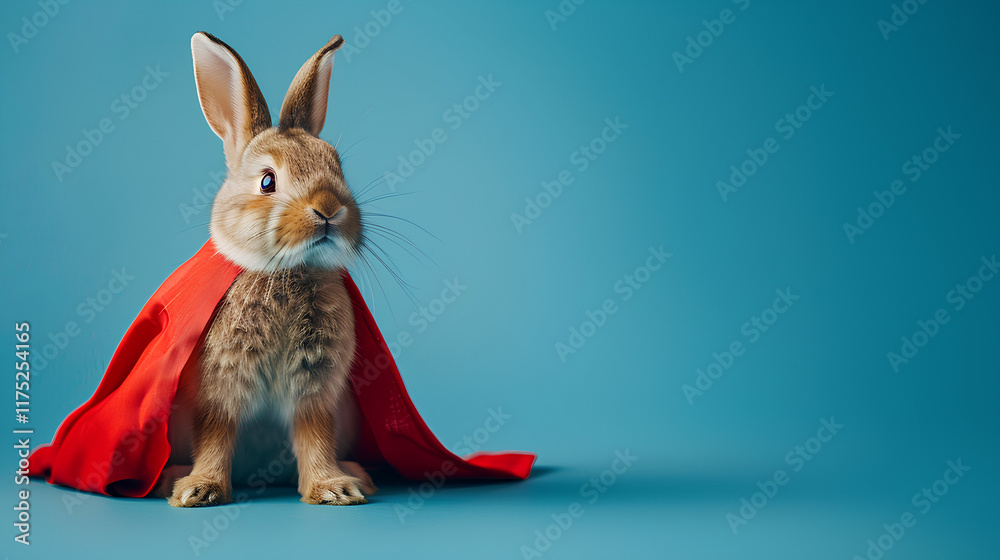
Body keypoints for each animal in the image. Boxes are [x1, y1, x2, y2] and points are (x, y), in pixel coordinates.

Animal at [166, 31, 376, 507]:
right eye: (267, 182)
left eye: (337, 166)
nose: (329, 209)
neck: (287, 270)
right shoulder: (219, 386)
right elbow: (216, 433)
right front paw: (199, 490)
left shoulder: (316, 388)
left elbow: (315, 435)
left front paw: (333, 488)